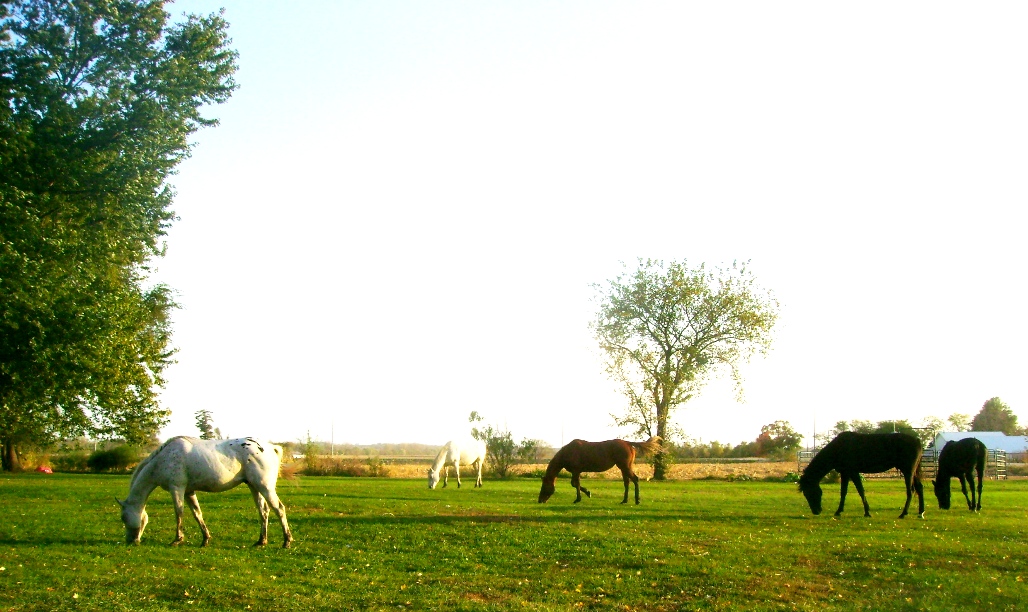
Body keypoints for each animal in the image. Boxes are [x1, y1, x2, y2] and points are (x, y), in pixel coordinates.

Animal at [117, 438, 294, 547]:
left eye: (123, 517)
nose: (131, 541)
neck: (163, 459)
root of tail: (271, 447)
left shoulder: (177, 488)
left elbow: (179, 513)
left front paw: (177, 540)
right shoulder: (188, 491)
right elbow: (197, 514)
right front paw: (205, 539)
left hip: (265, 487)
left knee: (279, 509)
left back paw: (286, 541)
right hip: (254, 487)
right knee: (264, 512)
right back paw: (261, 541)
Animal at [534, 438, 662, 506]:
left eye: (544, 486)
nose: (540, 500)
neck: (568, 453)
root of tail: (628, 443)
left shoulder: (576, 471)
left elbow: (575, 484)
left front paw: (580, 498)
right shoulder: (577, 472)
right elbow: (576, 484)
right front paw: (587, 493)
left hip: (625, 467)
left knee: (635, 479)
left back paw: (637, 500)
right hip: (623, 468)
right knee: (627, 482)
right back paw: (624, 500)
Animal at [797, 432, 929, 522]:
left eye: (810, 492)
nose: (816, 511)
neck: (838, 448)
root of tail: (917, 440)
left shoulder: (853, 472)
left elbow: (860, 491)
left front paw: (867, 512)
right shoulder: (845, 473)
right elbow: (843, 492)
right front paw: (839, 511)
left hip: (908, 471)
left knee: (910, 491)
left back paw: (903, 514)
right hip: (912, 472)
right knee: (920, 488)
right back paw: (921, 513)